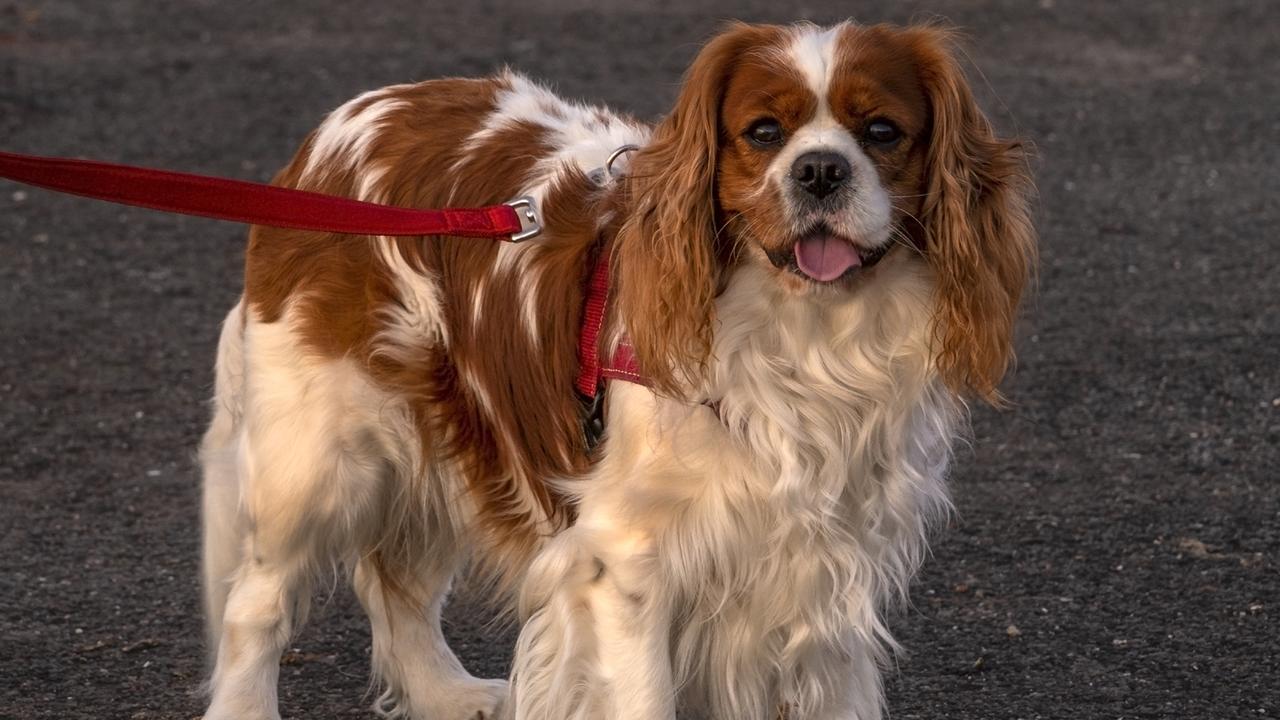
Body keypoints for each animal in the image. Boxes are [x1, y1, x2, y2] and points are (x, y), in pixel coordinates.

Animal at [202, 20, 1039, 717]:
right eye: (763, 133)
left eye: (882, 132)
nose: (822, 171)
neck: (804, 335)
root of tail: (329, 134)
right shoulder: (631, 565)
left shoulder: (825, 571)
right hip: (316, 457)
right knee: (257, 606)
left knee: (397, 582)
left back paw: (448, 693)